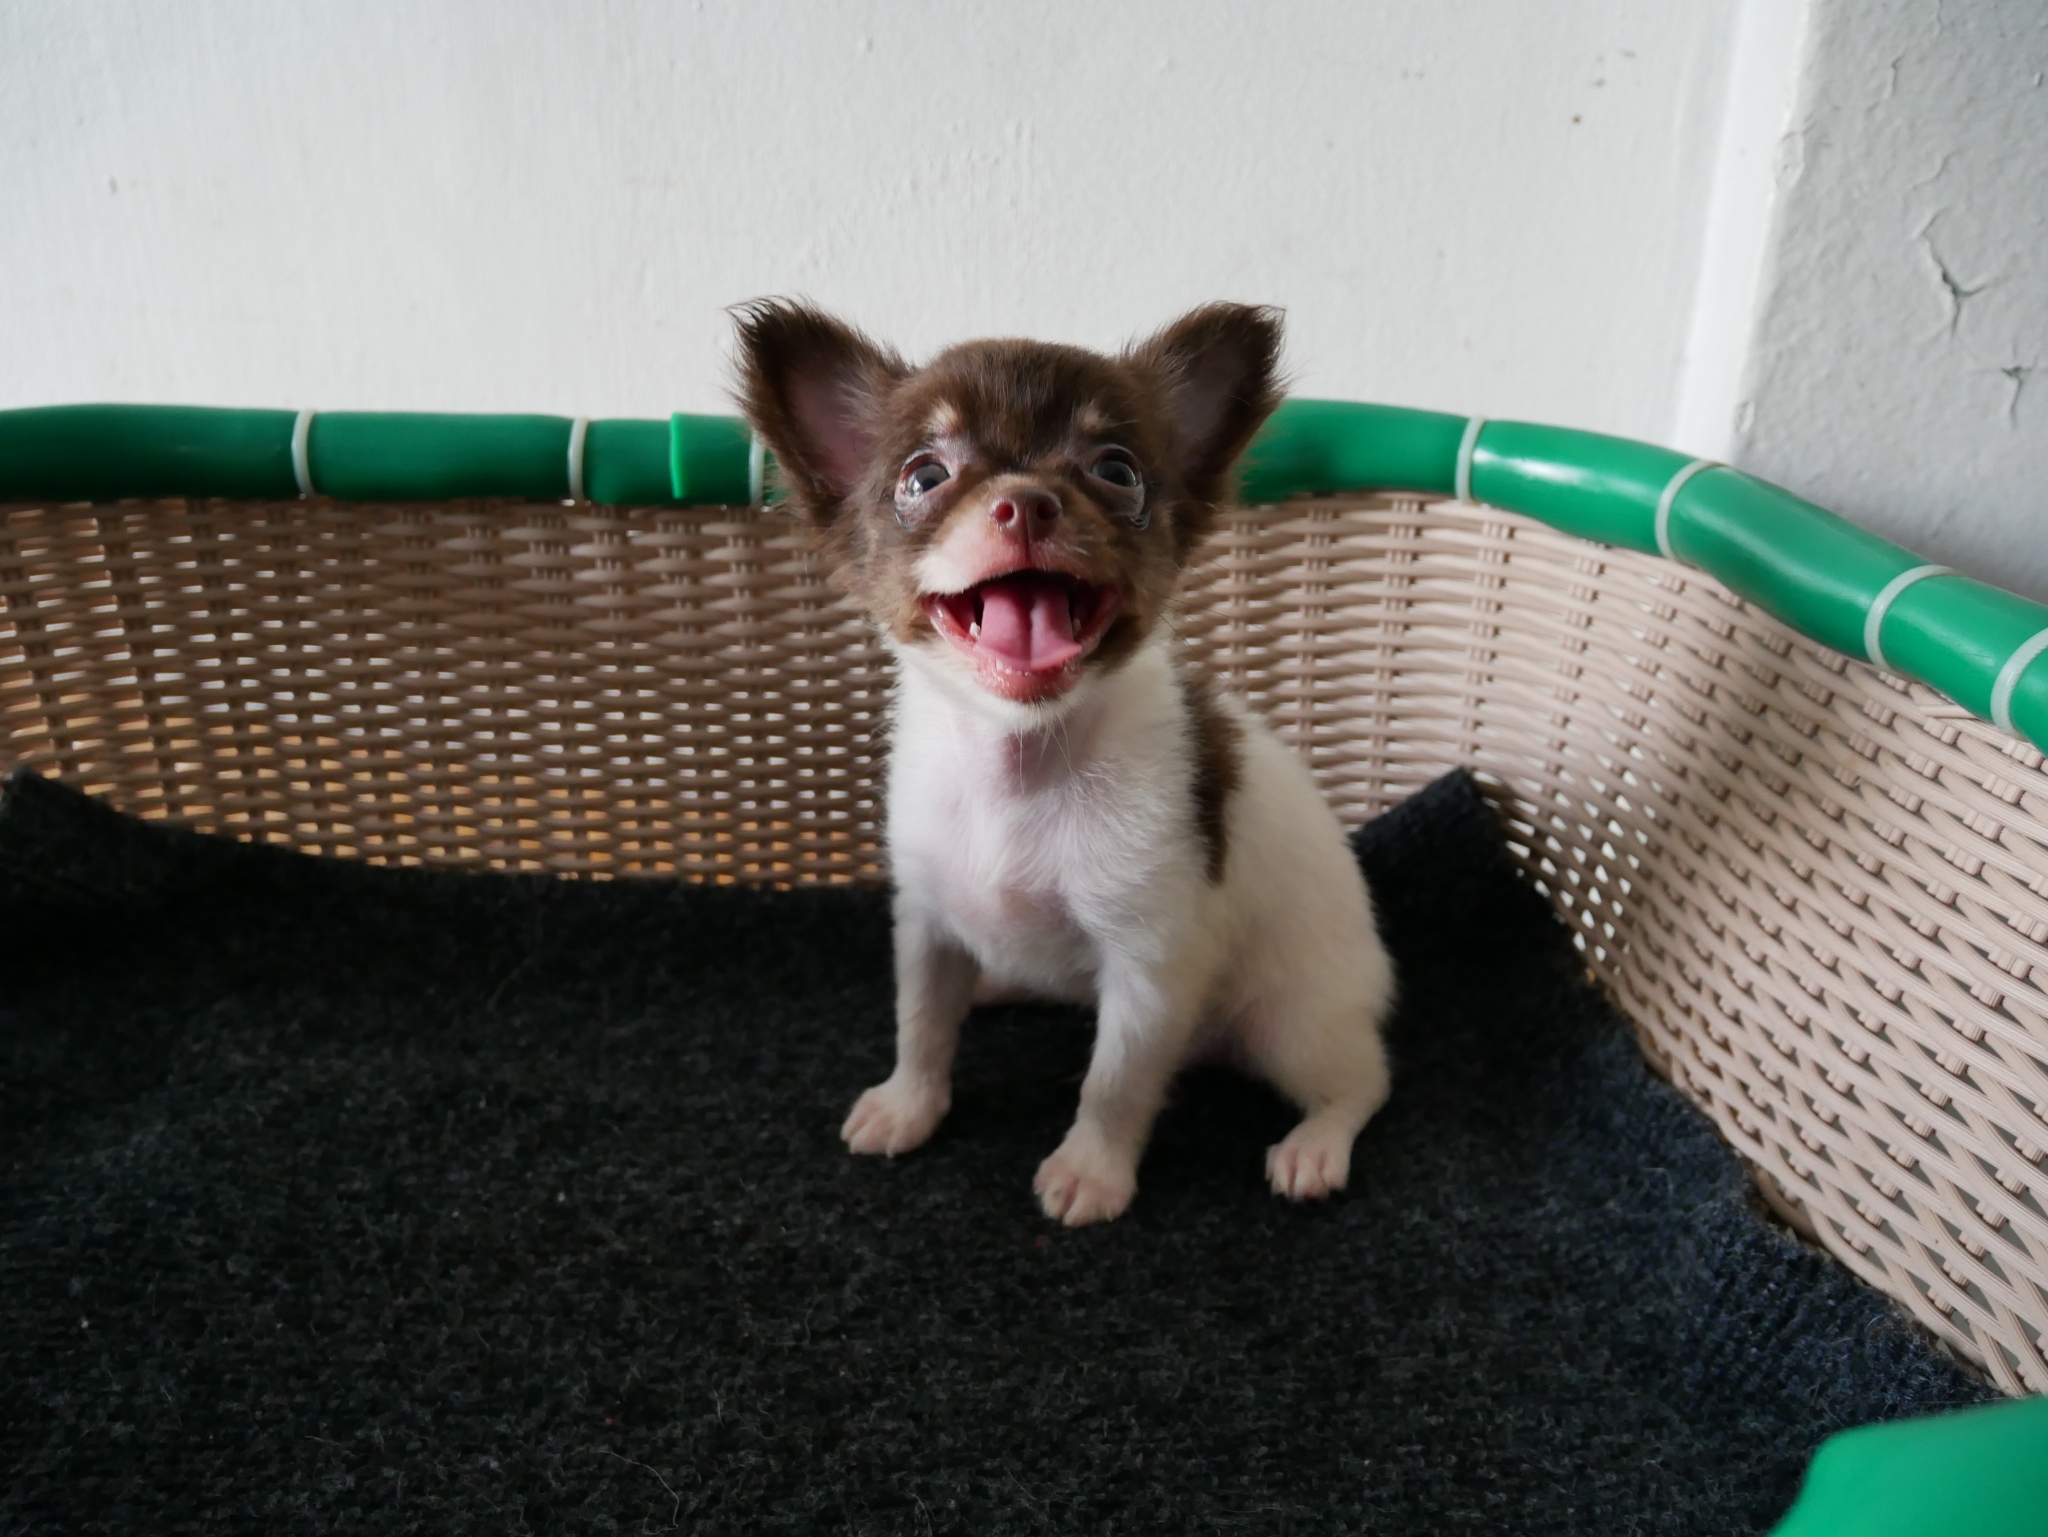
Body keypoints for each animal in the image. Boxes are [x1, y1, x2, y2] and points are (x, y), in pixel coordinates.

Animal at [733, 300, 1394, 1226]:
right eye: (924, 476)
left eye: (1116, 471)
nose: (1026, 503)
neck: (1020, 761)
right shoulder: (928, 921)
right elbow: (921, 1022)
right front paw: (909, 1103)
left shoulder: (1148, 963)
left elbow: (1113, 1083)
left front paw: (1091, 1169)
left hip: (1293, 1021)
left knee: (1363, 1081)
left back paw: (1316, 1144)